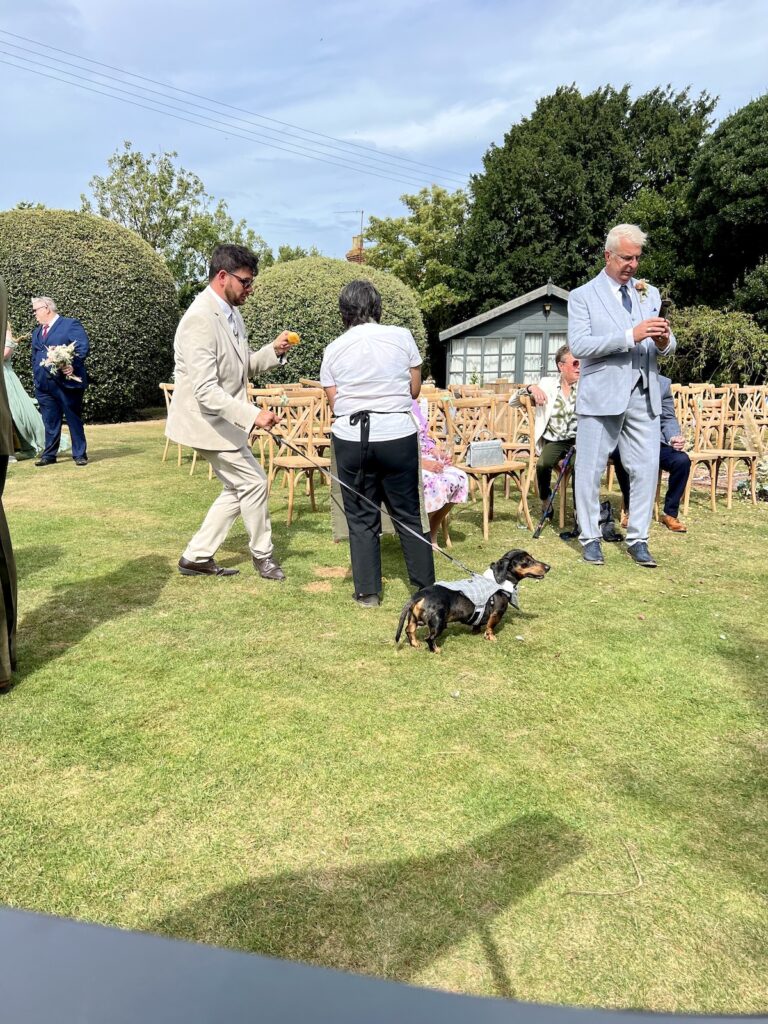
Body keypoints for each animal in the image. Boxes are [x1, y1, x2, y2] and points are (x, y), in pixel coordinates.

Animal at [397, 548, 548, 651]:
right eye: (527, 561)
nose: (548, 567)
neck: (500, 582)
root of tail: (421, 594)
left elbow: (478, 623)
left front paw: (476, 631)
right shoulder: (496, 614)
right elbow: (490, 627)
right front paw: (491, 637)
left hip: (413, 618)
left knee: (409, 630)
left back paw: (415, 644)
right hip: (438, 622)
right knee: (429, 638)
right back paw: (436, 650)